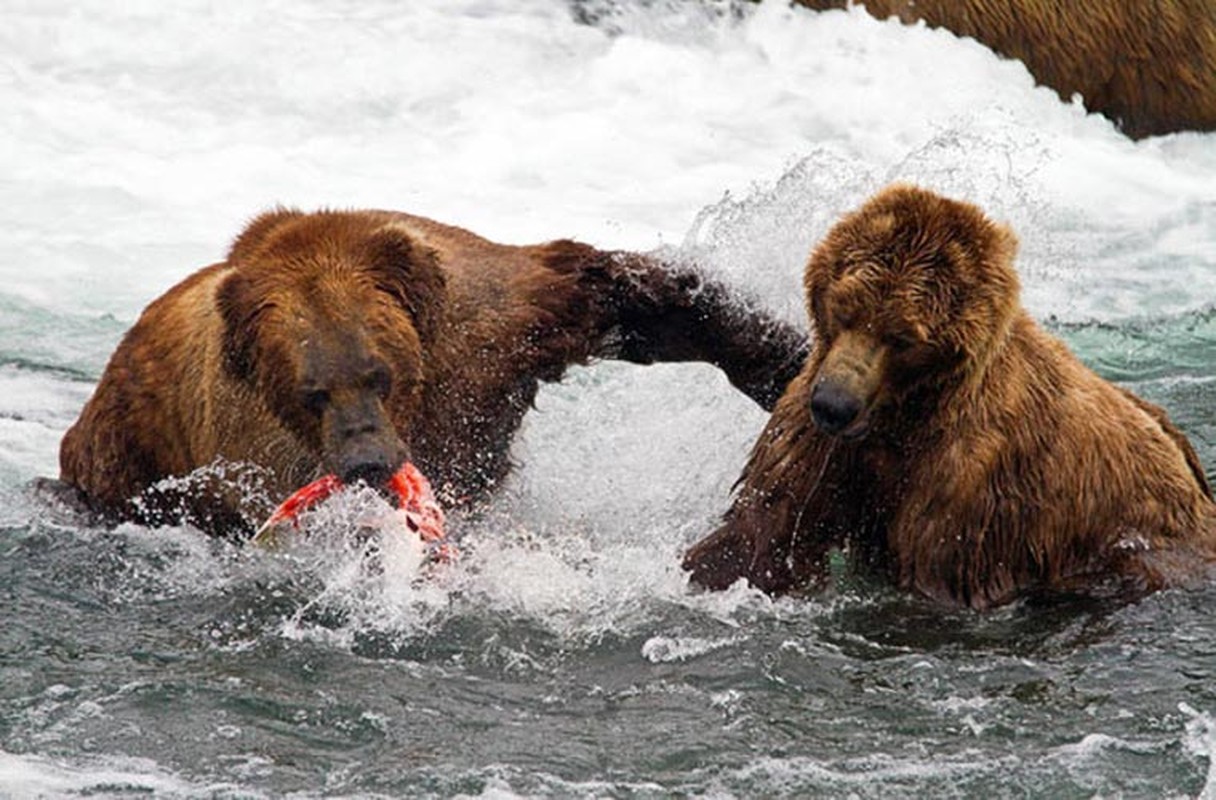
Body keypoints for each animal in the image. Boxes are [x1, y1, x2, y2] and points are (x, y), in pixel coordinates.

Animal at [54, 206, 807, 534]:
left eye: (378, 374)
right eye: (312, 393)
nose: (366, 459)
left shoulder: (492, 325)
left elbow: (628, 297)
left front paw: (782, 361)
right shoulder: (253, 449)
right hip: (130, 451)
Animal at [680, 184, 1216, 605]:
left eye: (901, 337)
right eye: (845, 308)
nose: (833, 405)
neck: (906, 415)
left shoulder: (967, 485)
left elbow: (935, 578)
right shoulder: (822, 441)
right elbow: (761, 535)